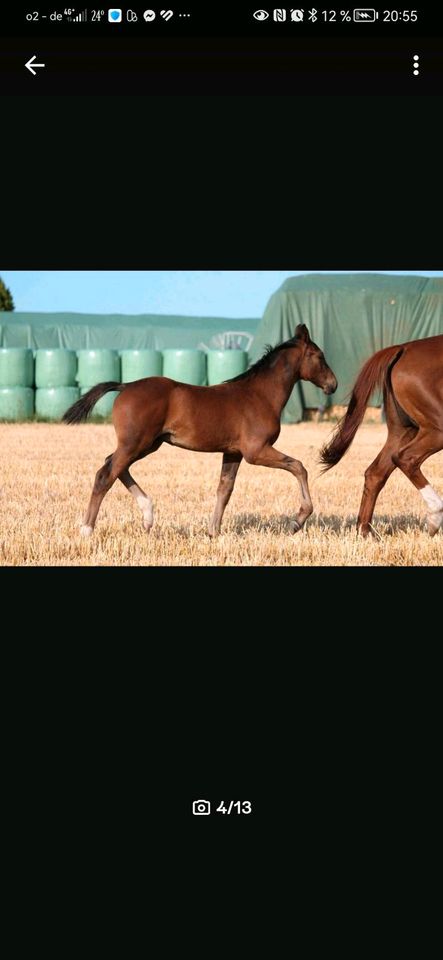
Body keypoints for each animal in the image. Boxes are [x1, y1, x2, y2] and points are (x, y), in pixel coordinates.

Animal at [63, 324, 336, 536]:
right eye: (319, 356)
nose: (333, 384)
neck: (260, 395)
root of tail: (125, 385)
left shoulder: (233, 452)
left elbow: (225, 489)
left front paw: (213, 531)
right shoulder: (256, 451)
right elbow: (298, 466)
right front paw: (297, 521)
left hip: (147, 444)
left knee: (114, 466)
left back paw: (148, 515)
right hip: (135, 444)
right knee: (105, 474)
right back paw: (87, 529)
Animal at [322, 336, 443, 532]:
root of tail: (403, 348)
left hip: (402, 432)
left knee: (376, 473)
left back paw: (364, 531)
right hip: (436, 428)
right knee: (405, 459)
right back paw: (435, 515)